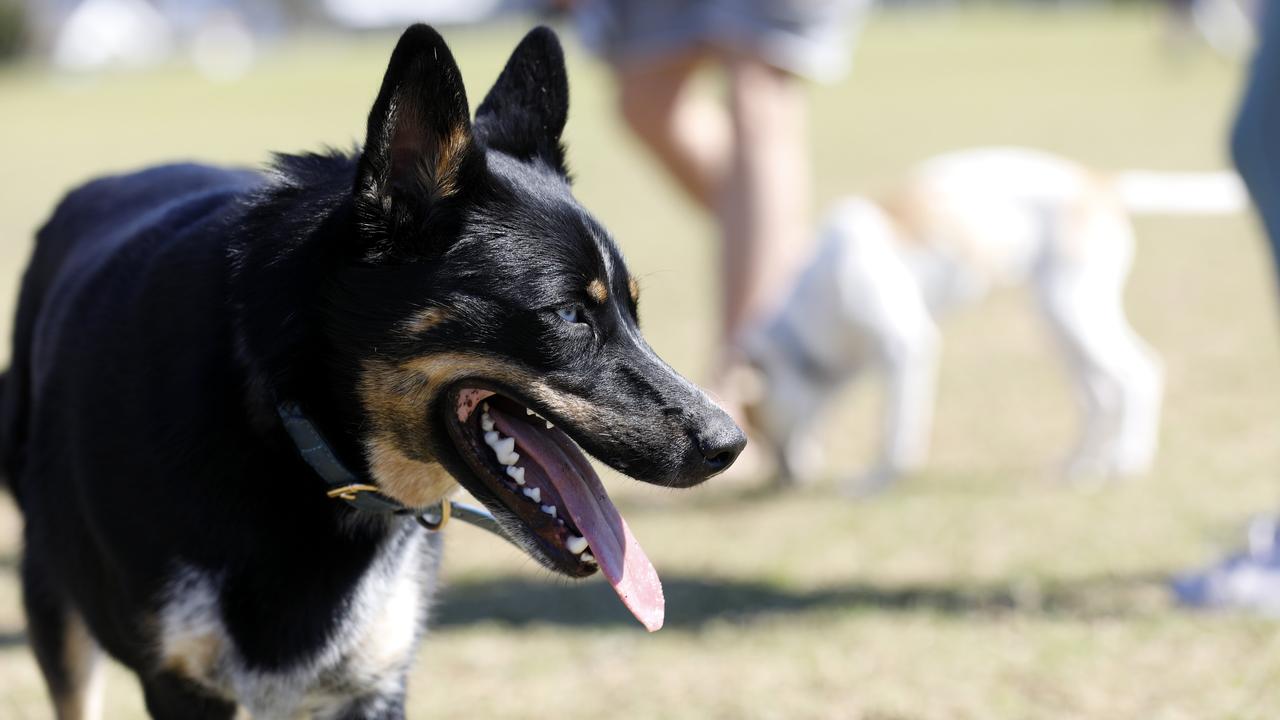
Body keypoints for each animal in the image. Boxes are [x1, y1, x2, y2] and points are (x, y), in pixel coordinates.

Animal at [2, 25, 742, 712]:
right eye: (568, 315)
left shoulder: (370, 681)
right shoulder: (182, 685)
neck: (284, 420)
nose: (730, 444)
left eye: (633, 311)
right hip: (54, 613)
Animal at [747, 146, 1244, 491]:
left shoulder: (908, 347)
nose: (783, 481)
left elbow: (896, 426)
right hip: (1057, 323)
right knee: (1098, 393)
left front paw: (878, 480)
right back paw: (1082, 465)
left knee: (1137, 372)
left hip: (1072, 309)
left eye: (758, 427)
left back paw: (1126, 459)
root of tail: (1097, 181)